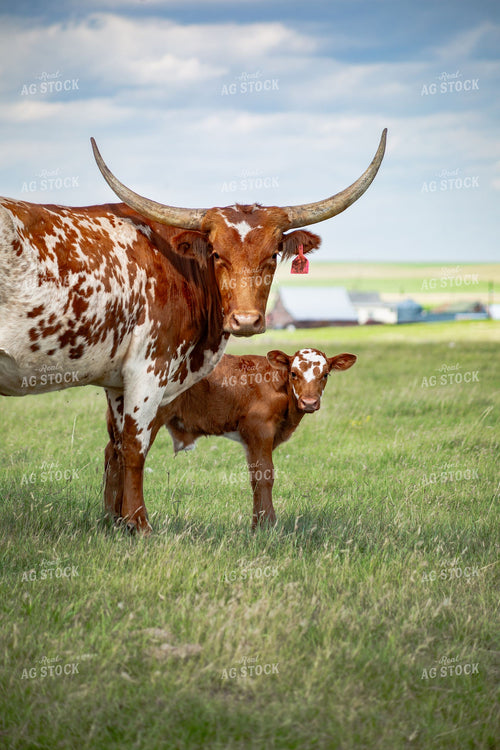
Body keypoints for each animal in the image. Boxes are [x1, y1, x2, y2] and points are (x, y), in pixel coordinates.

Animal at [105, 348, 356, 529]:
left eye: (325, 374)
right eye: (293, 373)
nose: (310, 402)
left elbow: (256, 477)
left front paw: (259, 523)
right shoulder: (258, 430)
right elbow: (264, 476)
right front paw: (267, 525)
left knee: (114, 455)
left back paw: (112, 517)